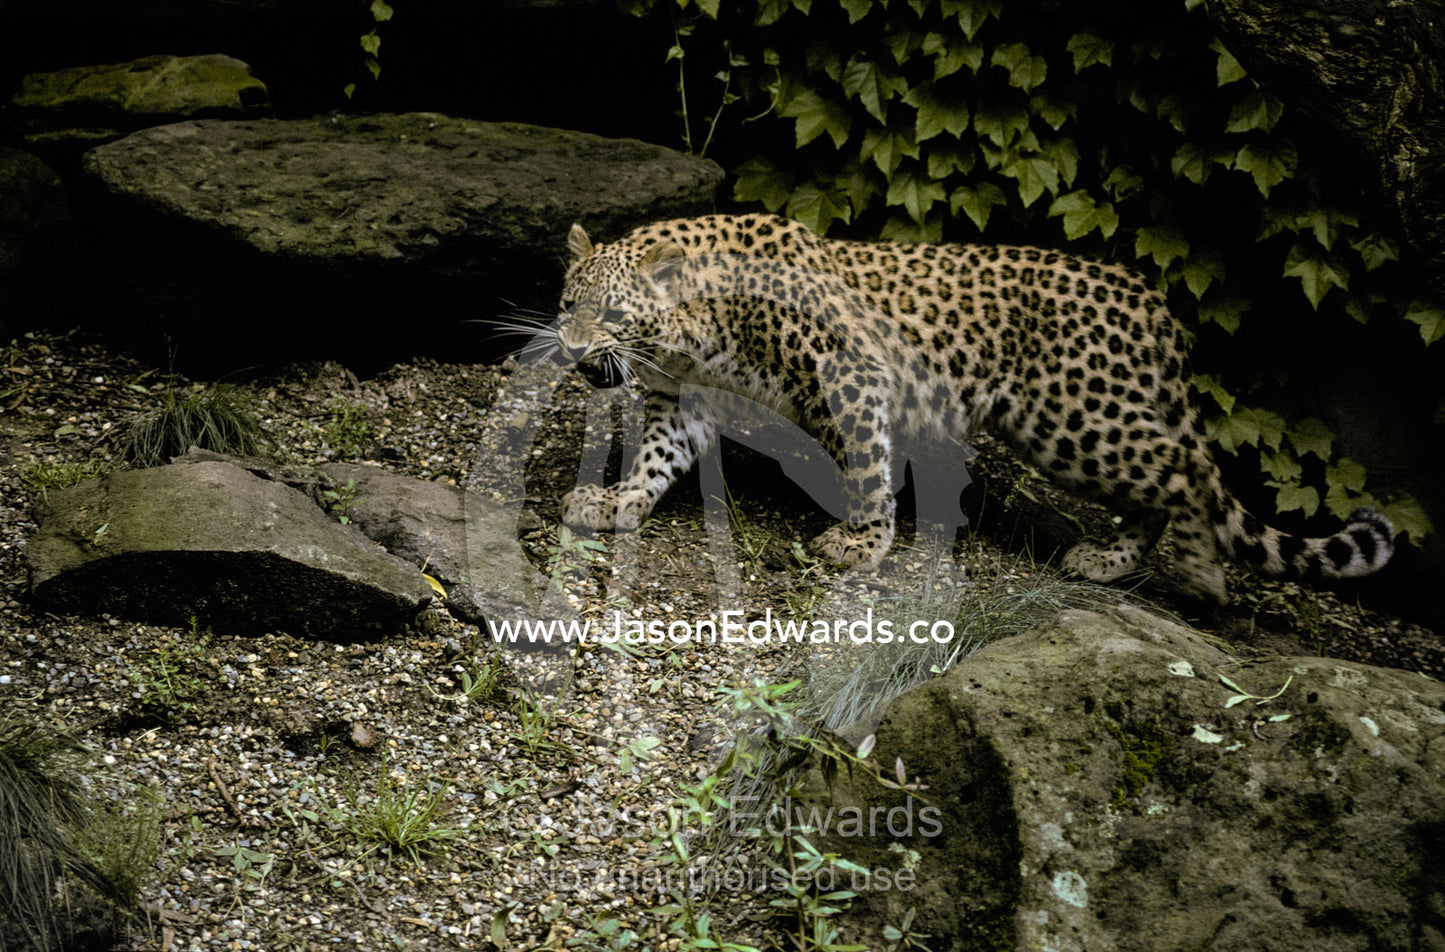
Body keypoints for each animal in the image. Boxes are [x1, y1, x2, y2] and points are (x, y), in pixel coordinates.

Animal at [546, 212, 1394, 605]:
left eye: (613, 314)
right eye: (566, 303)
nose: (574, 352)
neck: (693, 330)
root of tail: (1152, 302)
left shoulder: (850, 374)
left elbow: (866, 464)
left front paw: (863, 544)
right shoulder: (678, 397)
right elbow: (656, 457)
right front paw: (615, 501)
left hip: (1077, 419)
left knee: (1180, 467)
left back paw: (1197, 574)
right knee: (1159, 484)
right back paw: (1110, 561)